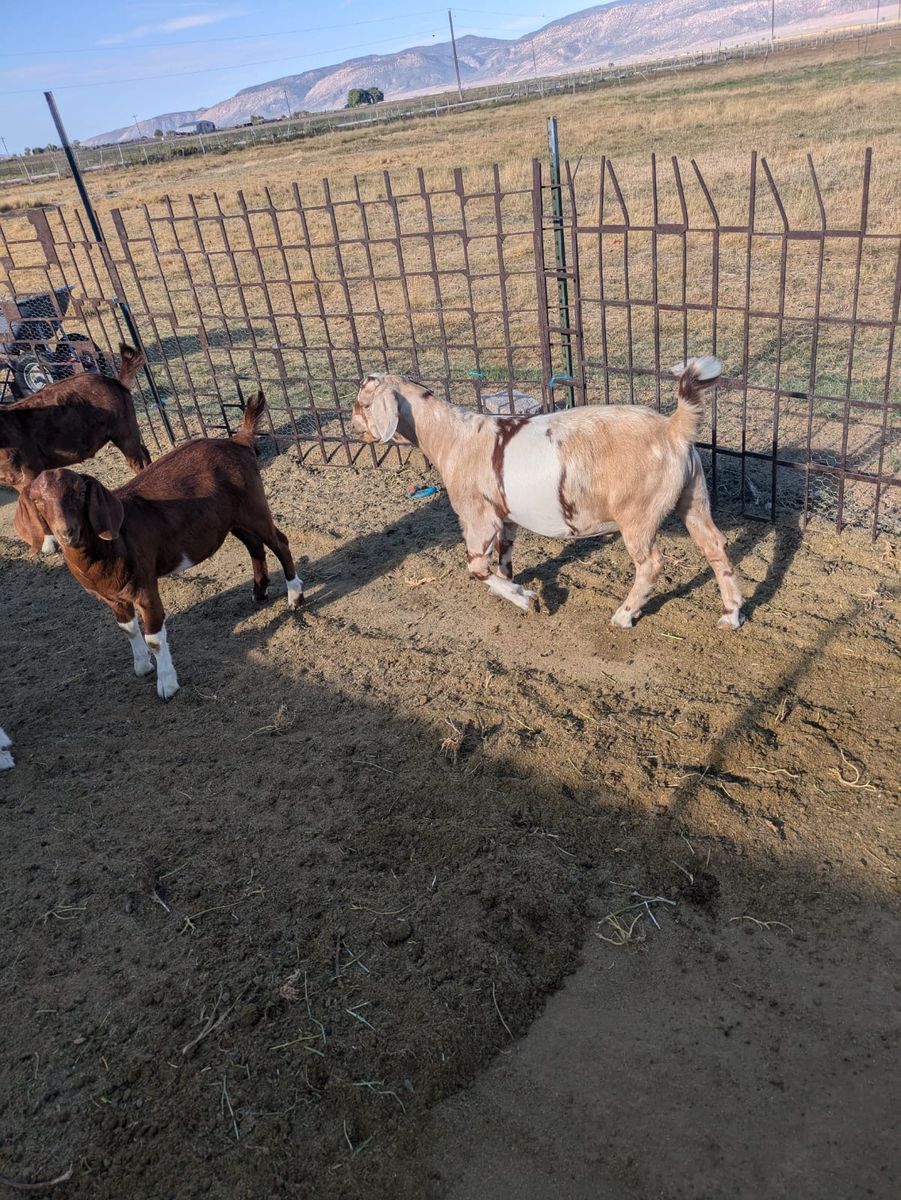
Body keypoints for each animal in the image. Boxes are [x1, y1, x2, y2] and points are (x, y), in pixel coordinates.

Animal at [14, 392, 303, 701]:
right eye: (38, 500)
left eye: (80, 493)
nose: (67, 532)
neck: (106, 551)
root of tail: (239, 440)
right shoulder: (110, 596)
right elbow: (128, 629)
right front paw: (142, 667)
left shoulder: (143, 584)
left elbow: (153, 638)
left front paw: (167, 685)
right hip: (230, 519)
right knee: (254, 545)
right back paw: (259, 591)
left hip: (254, 505)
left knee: (279, 542)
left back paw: (294, 597)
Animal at [352, 360, 743, 629]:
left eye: (362, 403)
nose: (355, 428)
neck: (453, 438)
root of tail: (674, 428)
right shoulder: (506, 517)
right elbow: (505, 556)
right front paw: (512, 587)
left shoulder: (478, 516)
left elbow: (476, 566)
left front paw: (527, 600)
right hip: (693, 497)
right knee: (715, 545)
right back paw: (731, 615)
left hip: (638, 512)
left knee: (651, 564)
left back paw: (624, 615)